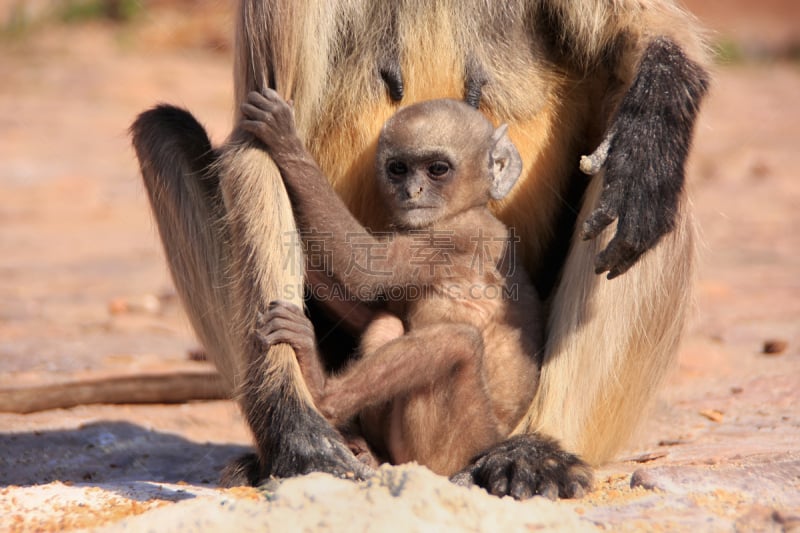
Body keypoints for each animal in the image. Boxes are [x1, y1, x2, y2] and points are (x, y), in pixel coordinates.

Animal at [242, 90, 544, 474]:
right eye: (398, 168)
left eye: (437, 169)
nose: (412, 191)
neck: (470, 208)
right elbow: (379, 303)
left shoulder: (454, 235)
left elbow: (368, 271)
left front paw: (287, 143)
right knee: (388, 323)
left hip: (453, 447)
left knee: (459, 342)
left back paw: (321, 392)